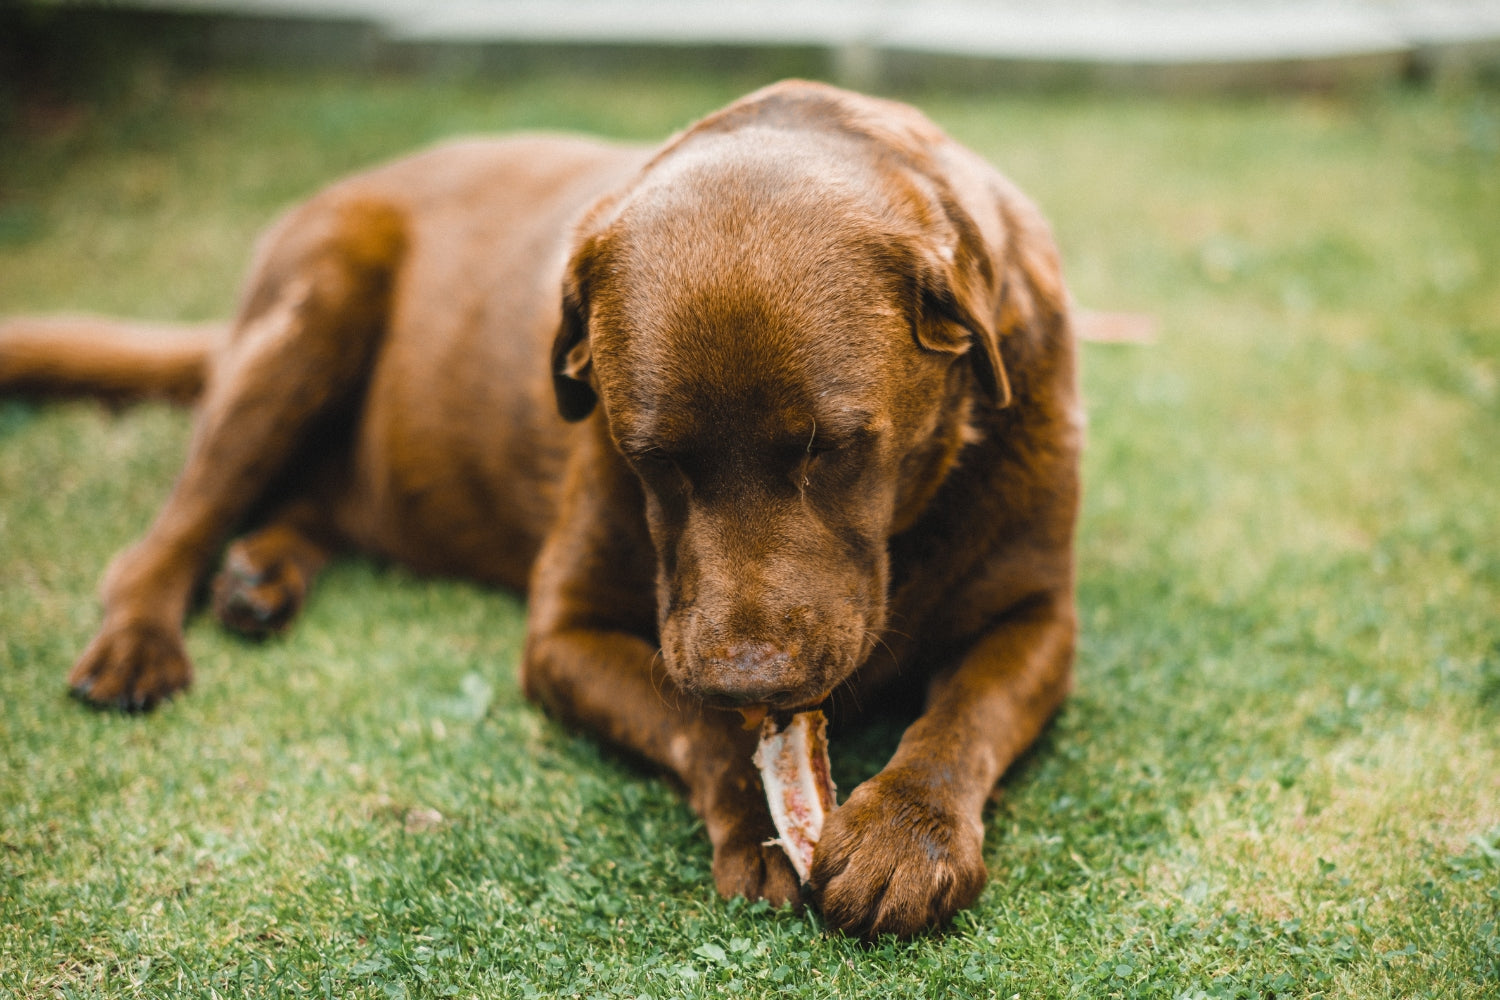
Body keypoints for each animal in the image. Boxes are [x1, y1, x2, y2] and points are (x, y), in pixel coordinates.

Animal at [0, 82, 1086, 941]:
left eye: (836, 448)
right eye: (651, 458)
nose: (749, 680)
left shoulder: (1038, 617)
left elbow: (965, 717)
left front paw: (906, 835)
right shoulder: (563, 631)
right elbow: (689, 722)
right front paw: (758, 816)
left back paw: (258, 577)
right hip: (314, 307)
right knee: (166, 535)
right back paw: (142, 643)